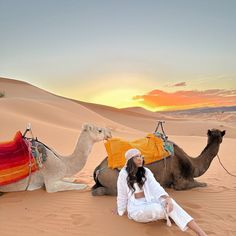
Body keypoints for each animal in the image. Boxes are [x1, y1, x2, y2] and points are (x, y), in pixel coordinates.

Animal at [91, 129, 226, 195]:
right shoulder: (181, 183)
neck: (193, 165)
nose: (218, 137)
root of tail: (98, 168)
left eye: (219, 135)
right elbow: (202, 184)